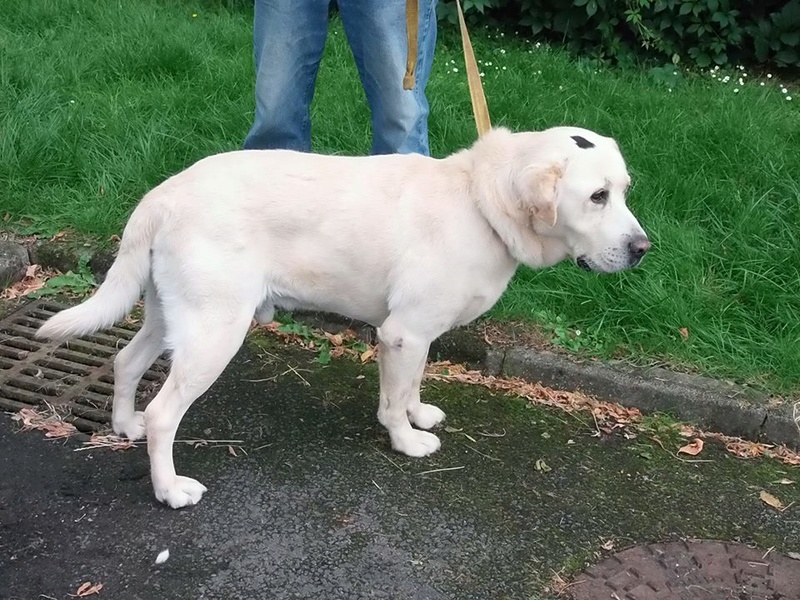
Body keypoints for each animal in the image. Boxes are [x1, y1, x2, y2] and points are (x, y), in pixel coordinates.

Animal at [37, 125, 648, 506]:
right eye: (597, 196)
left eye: (623, 190)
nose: (643, 249)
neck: (480, 200)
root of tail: (162, 193)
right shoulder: (402, 333)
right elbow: (392, 402)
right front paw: (405, 441)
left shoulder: (416, 337)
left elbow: (410, 387)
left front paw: (420, 415)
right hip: (215, 331)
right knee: (166, 413)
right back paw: (169, 489)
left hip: (170, 316)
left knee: (124, 361)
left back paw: (125, 425)